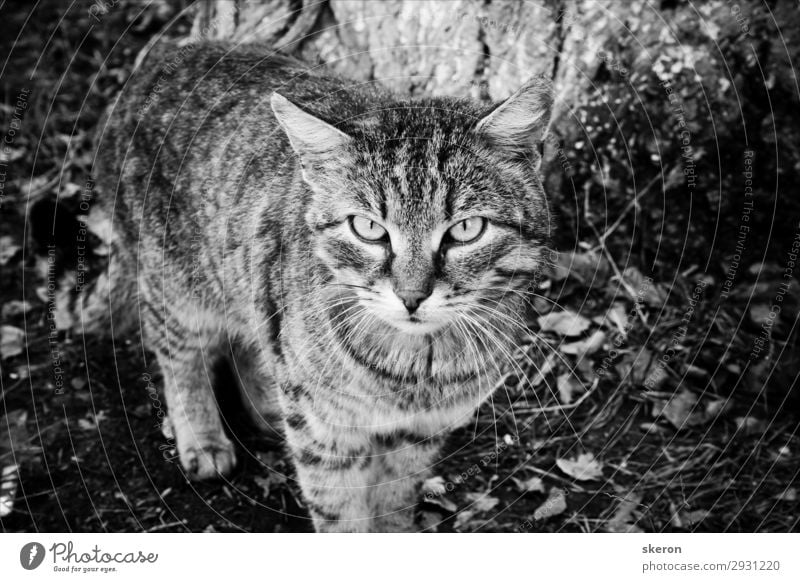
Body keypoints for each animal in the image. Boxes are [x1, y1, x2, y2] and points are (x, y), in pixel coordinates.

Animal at [62, 40, 552, 532]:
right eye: (368, 229)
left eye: (466, 229)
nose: (412, 296)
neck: (414, 369)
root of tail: (161, 58)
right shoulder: (327, 434)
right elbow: (340, 514)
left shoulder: (417, 434)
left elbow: (393, 505)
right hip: (178, 287)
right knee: (177, 353)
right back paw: (201, 435)